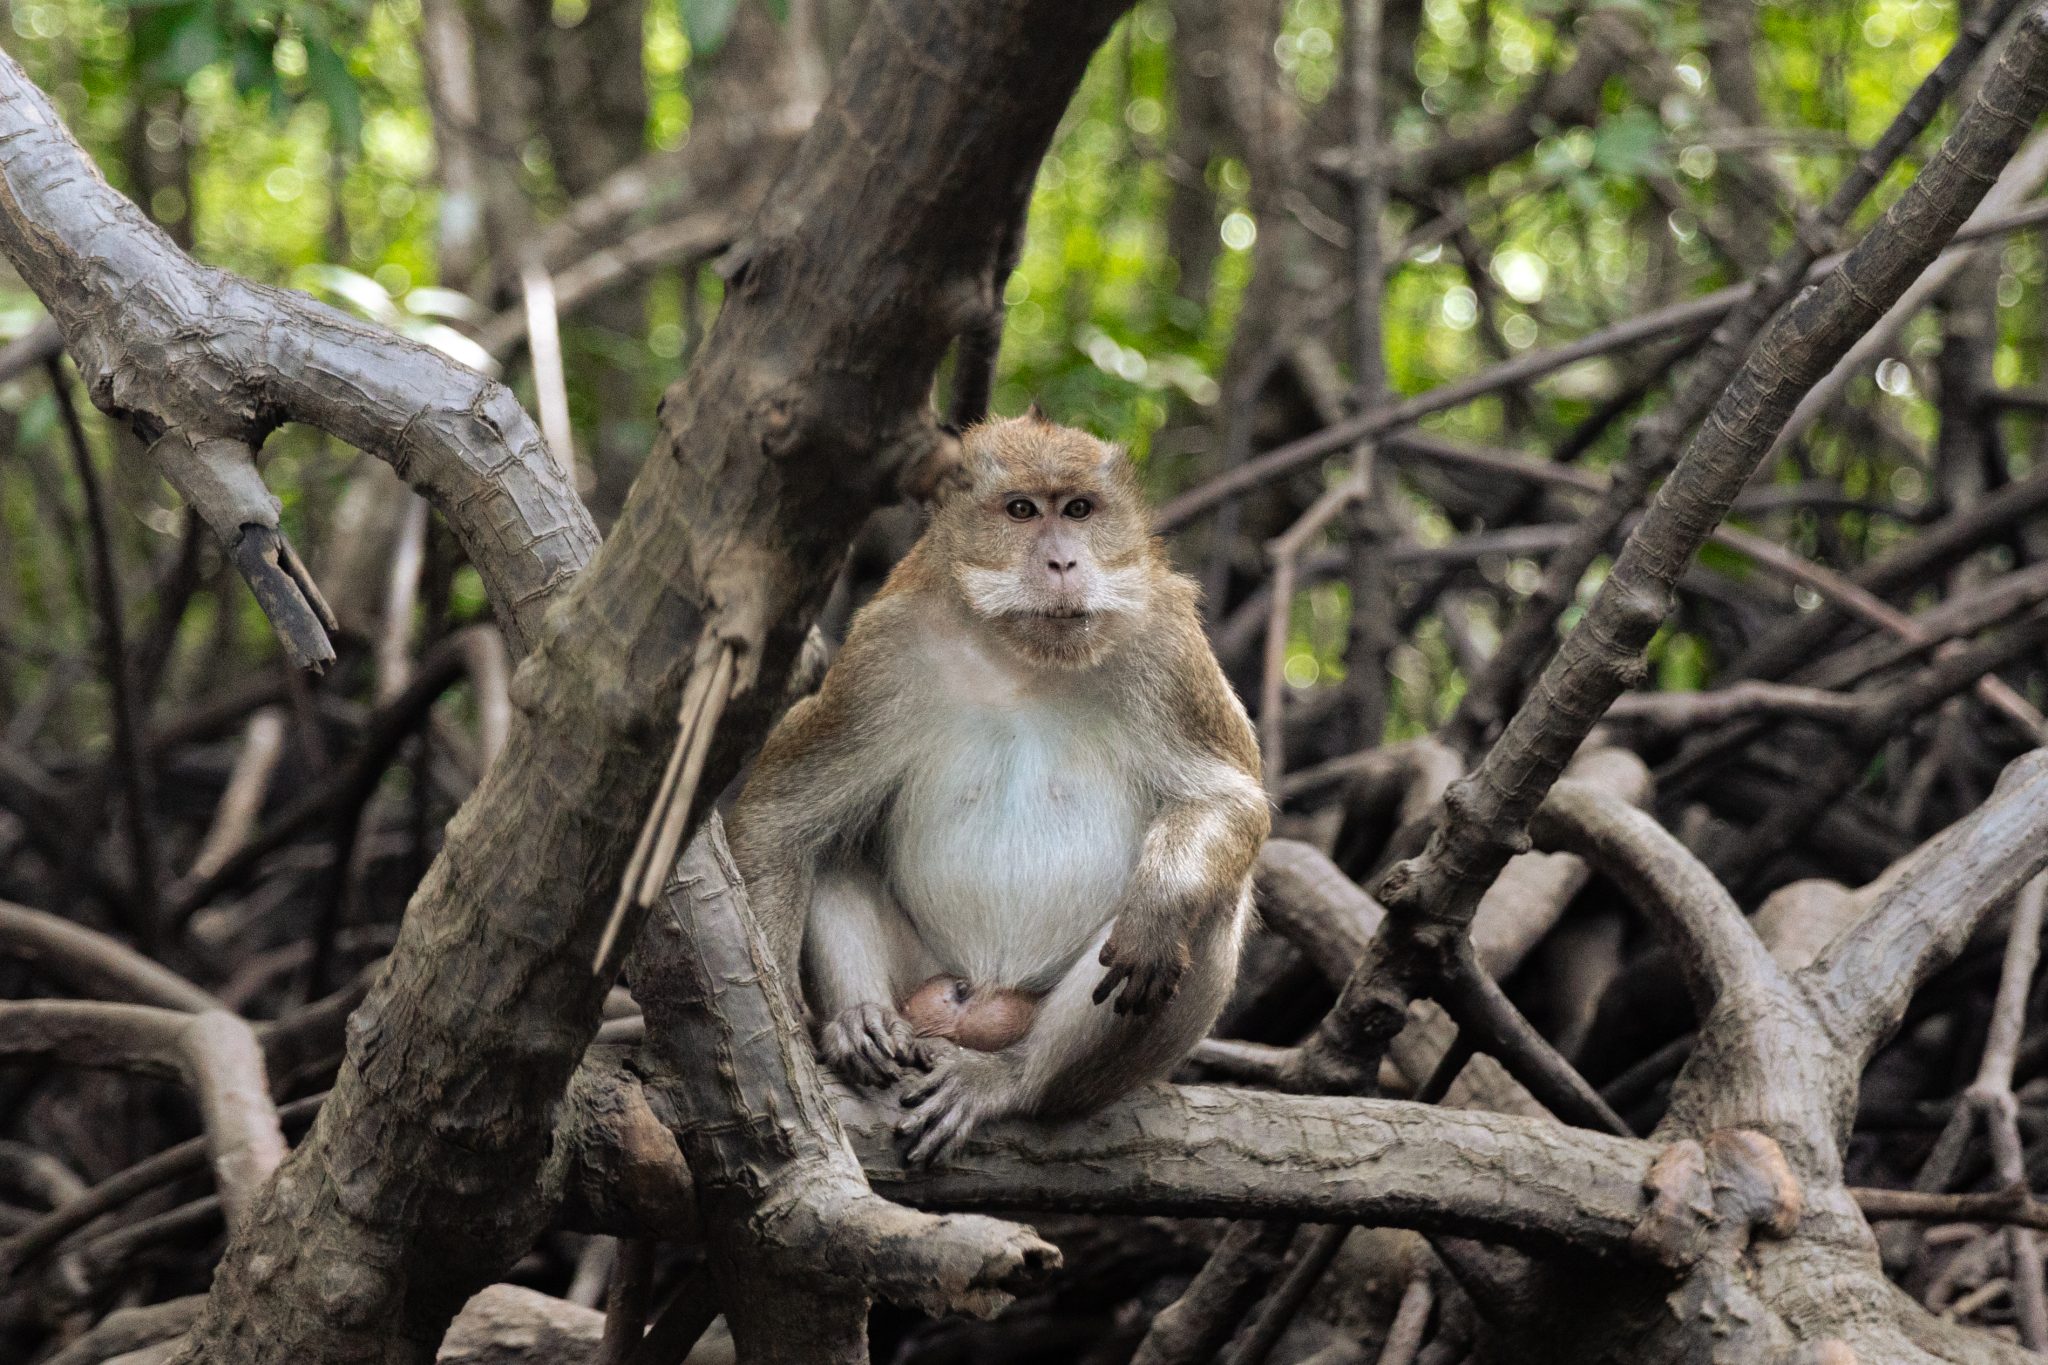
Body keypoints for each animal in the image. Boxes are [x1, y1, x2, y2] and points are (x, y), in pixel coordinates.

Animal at [727, 412, 1269, 1164]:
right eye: (1021, 511)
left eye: (1078, 509)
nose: (1064, 563)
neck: (1021, 658)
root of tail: (978, 999)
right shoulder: (880, 656)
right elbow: (783, 818)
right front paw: (790, 1026)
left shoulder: (1166, 651)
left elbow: (1226, 798)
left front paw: (1160, 903)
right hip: (925, 977)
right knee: (832, 846)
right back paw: (858, 1023)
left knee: (1204, 914)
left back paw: (1011, 1078)